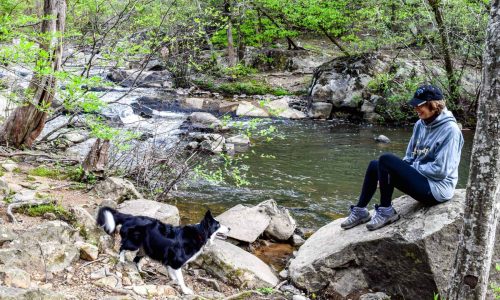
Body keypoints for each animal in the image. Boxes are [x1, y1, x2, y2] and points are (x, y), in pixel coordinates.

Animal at [96, 207, 230, 294]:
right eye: (218, 225)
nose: (229, 228)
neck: (200, 233)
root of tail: (130, 217)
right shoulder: (176, 261)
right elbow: (181, 278)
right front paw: (185, 290)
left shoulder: (169, 260)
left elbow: (173, 274)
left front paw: (174, 281)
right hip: (134, 244)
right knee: (122, 247)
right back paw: (122, 260)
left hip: (145, 248)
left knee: (136, 259)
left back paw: (140, 270)